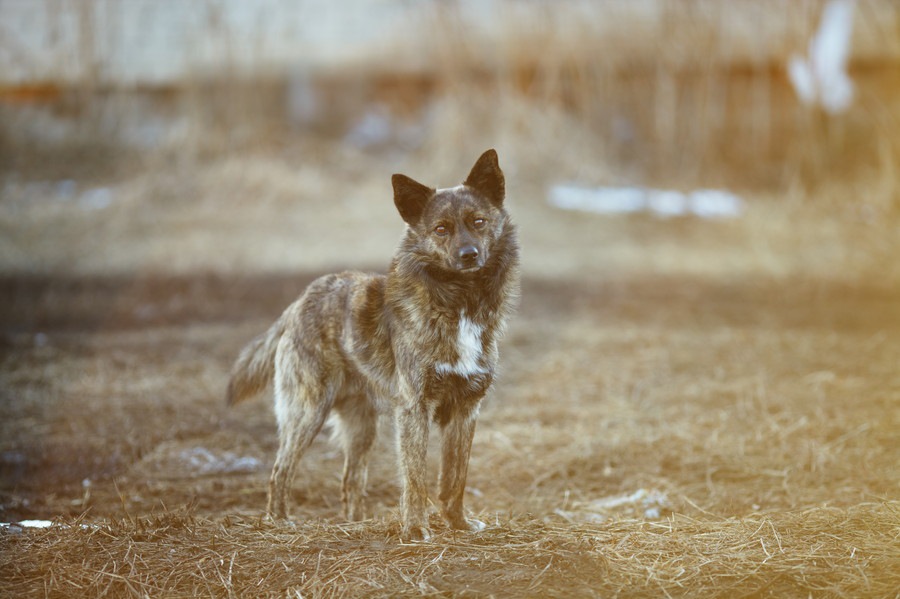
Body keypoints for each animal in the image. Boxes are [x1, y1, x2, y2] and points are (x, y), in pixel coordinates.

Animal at [227, 150, 520, 544]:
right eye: (440, 229)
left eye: (479, 221)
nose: (469, 255)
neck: (460, 302)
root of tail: (299, 302)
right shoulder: (414, 409)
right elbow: (415, 479)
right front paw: (415, 529)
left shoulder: (466, 409)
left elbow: (455, 478)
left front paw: (458, 523)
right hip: (308, 412)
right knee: (280, 470)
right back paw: (279, 522)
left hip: (362, 429)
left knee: (350, 481)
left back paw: (354, 525)